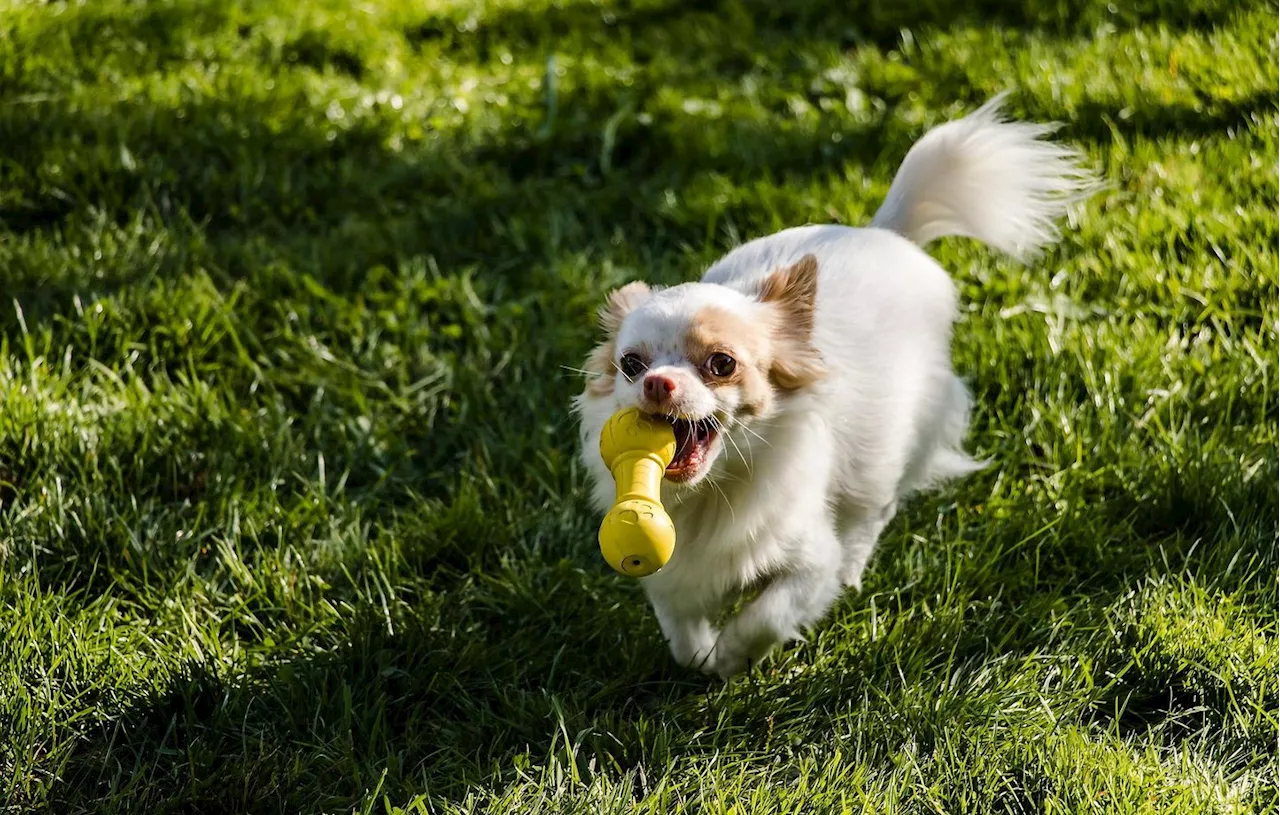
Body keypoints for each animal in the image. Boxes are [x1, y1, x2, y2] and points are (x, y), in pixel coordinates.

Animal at [576, 95, 1095, 675]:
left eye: (721, 363)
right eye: (631, 365)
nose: (658, 383)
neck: (713, 492)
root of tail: (885, 232)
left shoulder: (807, 563)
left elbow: (767, 615)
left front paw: (733, 657)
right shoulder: (672, 573)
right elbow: (683, 638)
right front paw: (705, 657)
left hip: (888, 452)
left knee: (873, 513)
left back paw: (852, 570)